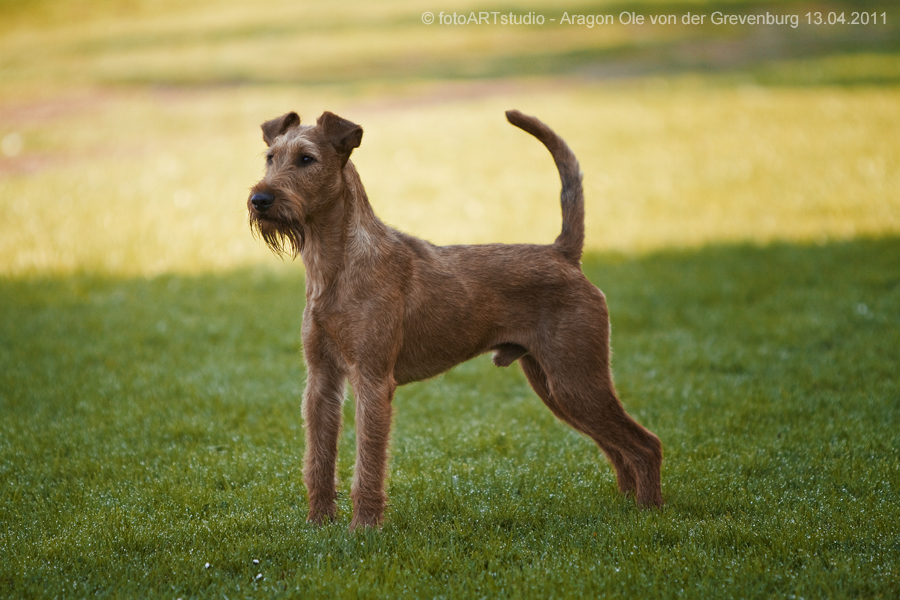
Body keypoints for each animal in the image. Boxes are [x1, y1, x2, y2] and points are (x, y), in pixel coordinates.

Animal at [246, 109, 660, 528]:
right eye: (270, 158)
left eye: (306, 159)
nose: (259, 199)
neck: (335, 266)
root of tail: (563, 254)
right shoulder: (321, 380)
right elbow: (318, 459)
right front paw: (319, 524)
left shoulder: (372, 379)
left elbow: (368, 464)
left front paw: (363, 528)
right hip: (555, 384)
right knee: (618, 447)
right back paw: (626, 506)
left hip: (576, 378)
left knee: (646, 444)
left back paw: (648, 514)